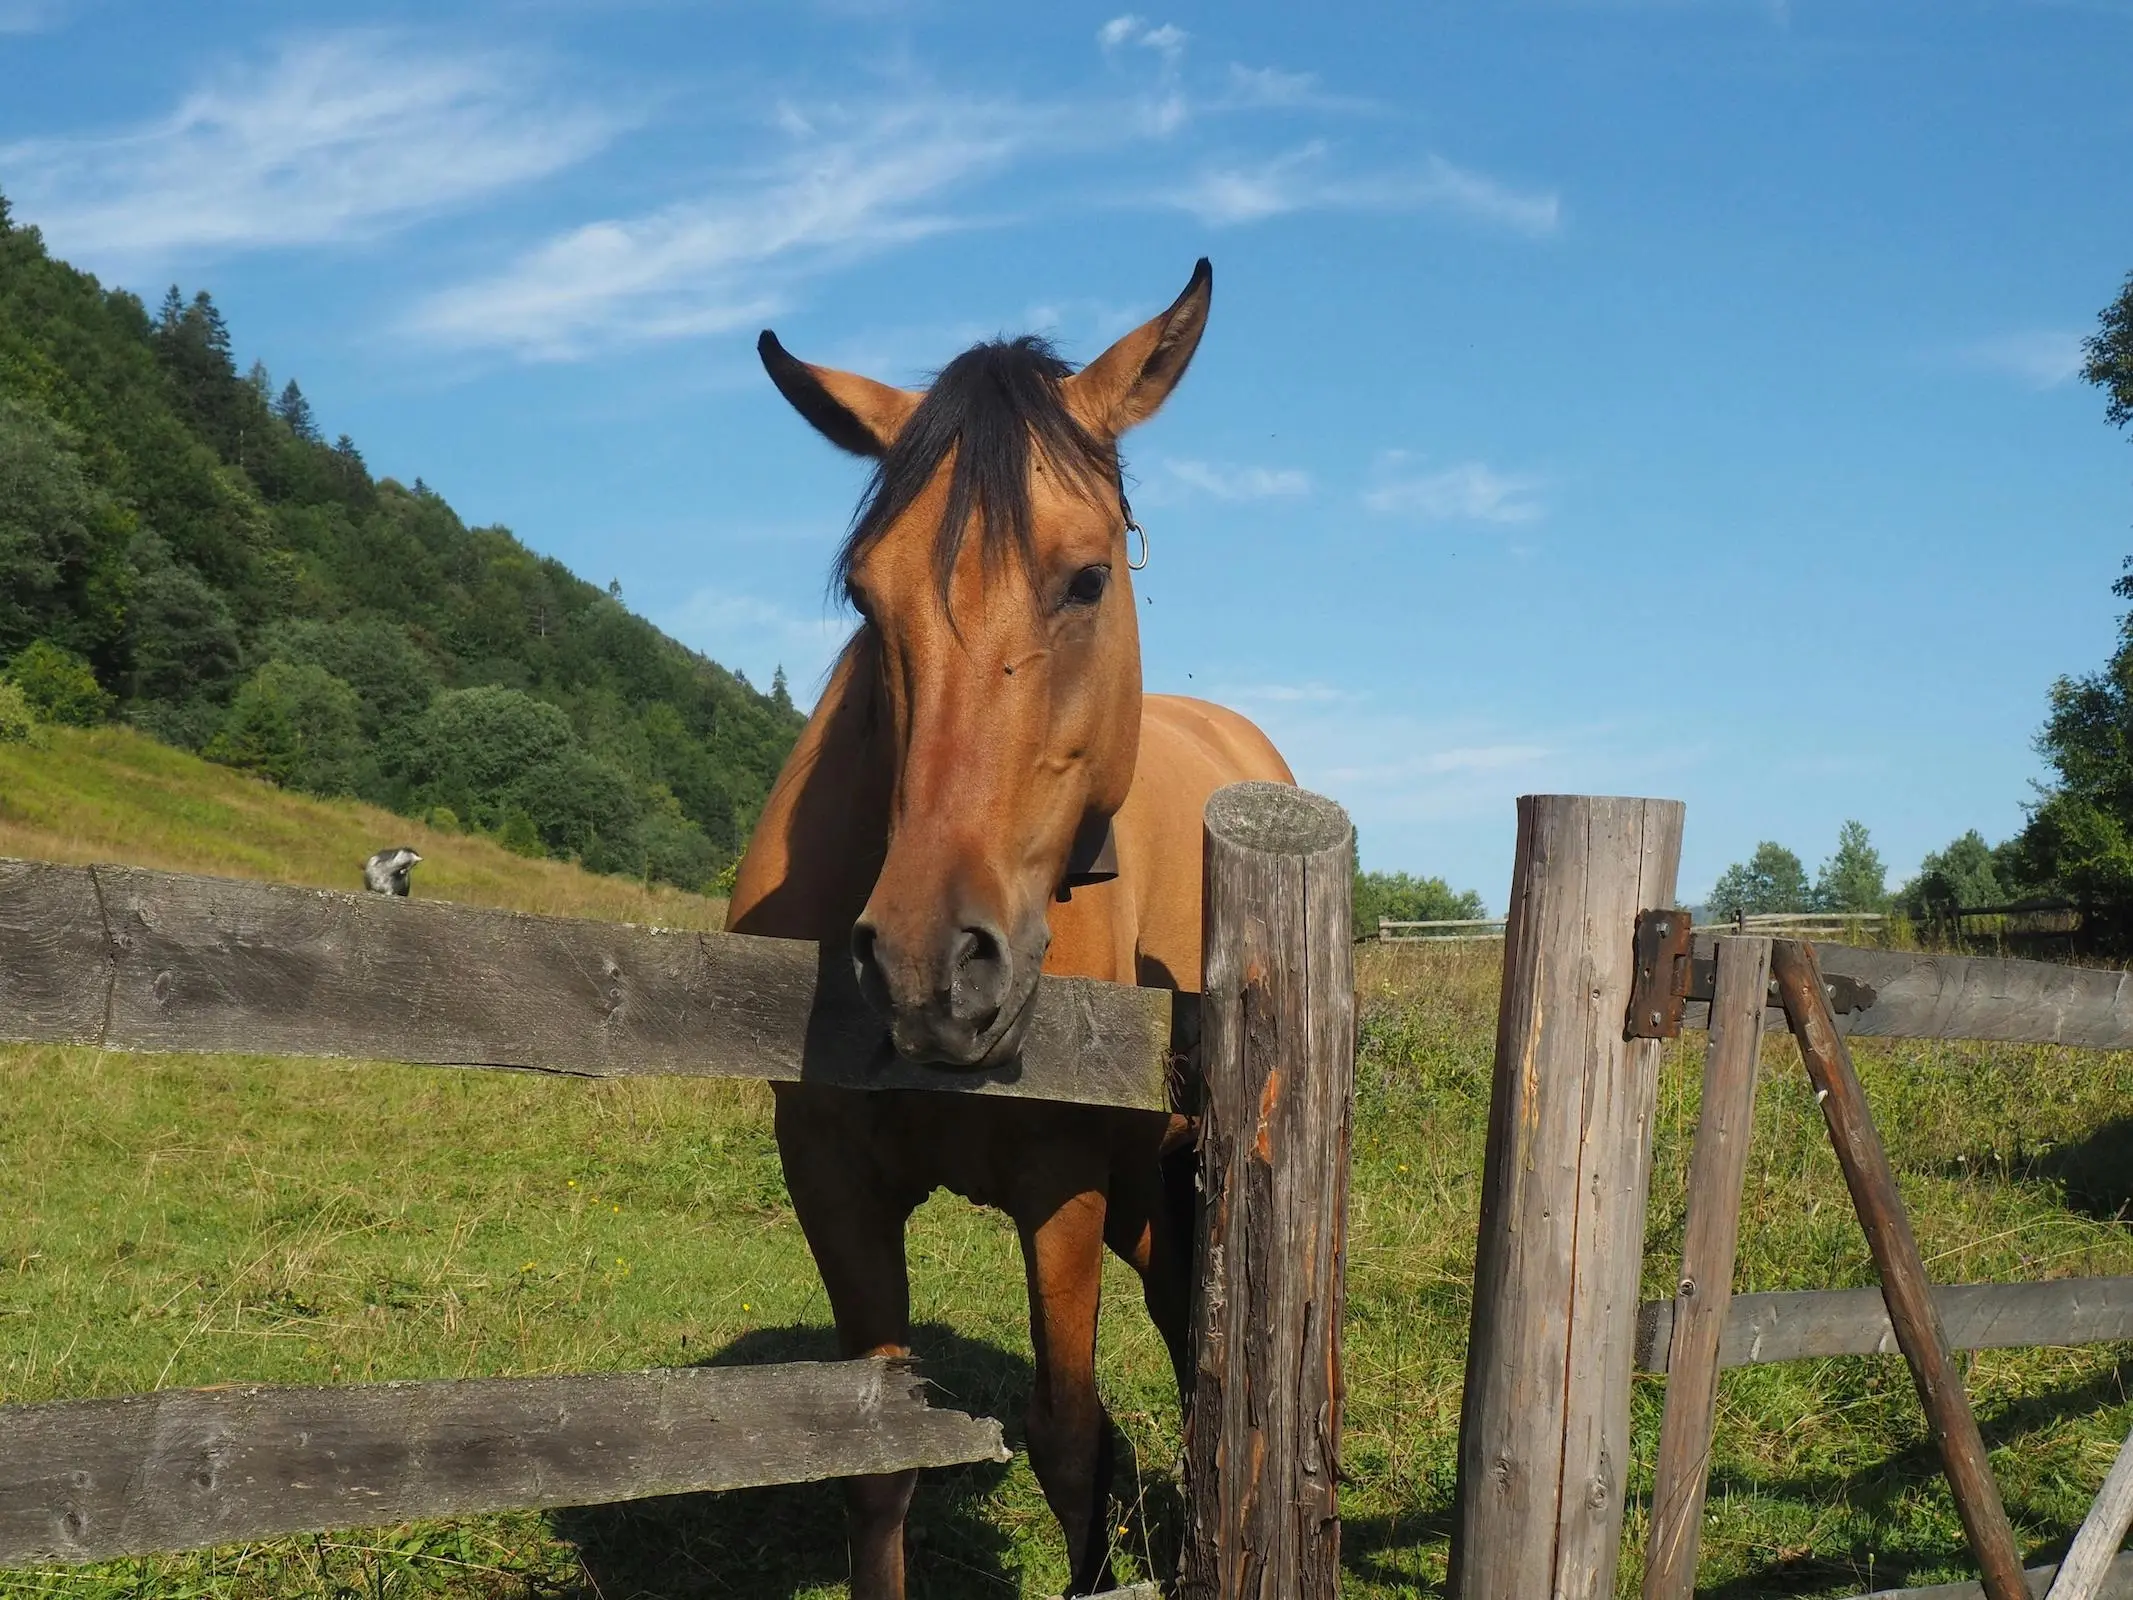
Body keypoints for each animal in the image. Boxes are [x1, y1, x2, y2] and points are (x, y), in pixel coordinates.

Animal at [733, 266, 1288, 1600]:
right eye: (865, 594)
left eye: (1086, 579)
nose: (929, 967)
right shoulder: (832, 1178)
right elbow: (876, 1459)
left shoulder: (1063, 1187)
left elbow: (1070, 1436)